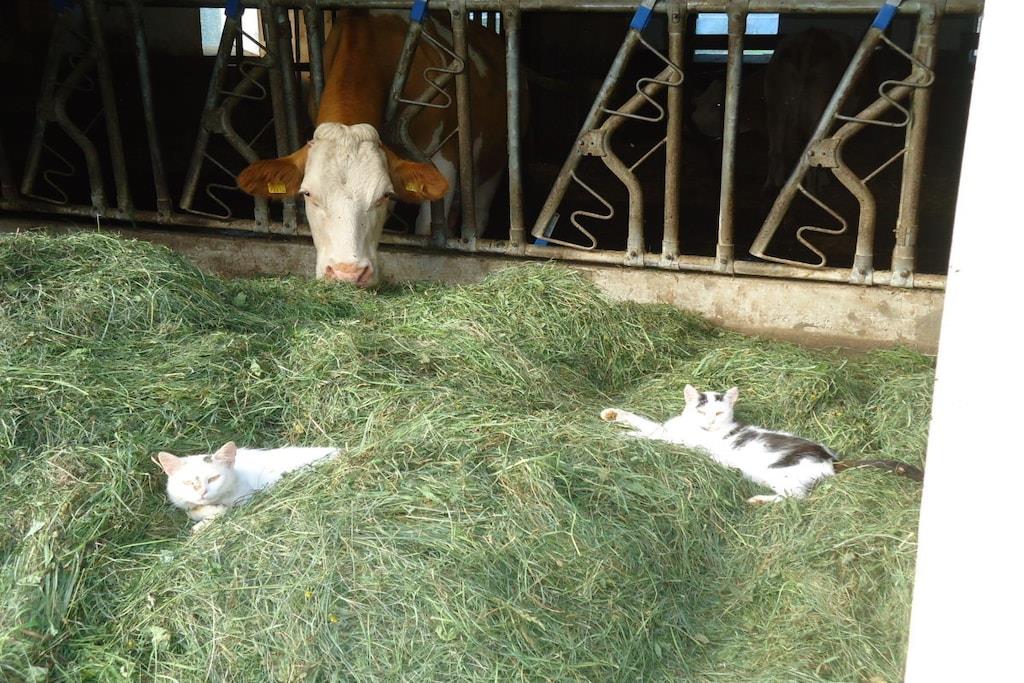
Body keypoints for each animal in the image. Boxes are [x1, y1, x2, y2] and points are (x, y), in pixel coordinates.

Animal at [155, 441, 338, 530]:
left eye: (214, 478)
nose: (202, 492)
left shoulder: (246, 498)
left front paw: (201, 525)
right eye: (188, 482)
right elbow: (193, 510)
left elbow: (219, 512)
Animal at [237, 9, 509, 286]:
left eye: (384, 195)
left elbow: (428, 227)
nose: (347, 272)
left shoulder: (446, 159)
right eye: (308, 194)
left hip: (492, 168)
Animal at [601, 385, 923, 504]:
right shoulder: (669, 429)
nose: (709, 424)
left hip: (779, 473)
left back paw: (759, 501)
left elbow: (652, 437)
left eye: (719, 413)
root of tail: (831, 459)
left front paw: (623, 438)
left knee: (797, 499)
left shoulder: (681, 442)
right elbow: (644, 422)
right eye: (702, 411)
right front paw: (612, 415)